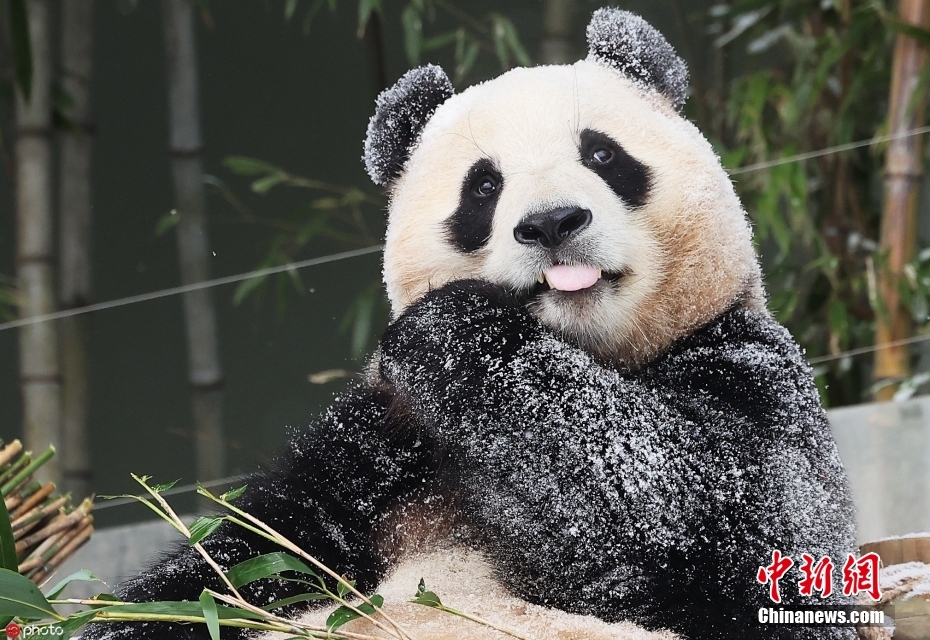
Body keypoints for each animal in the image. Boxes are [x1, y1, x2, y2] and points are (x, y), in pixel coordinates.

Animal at [80, 8, 857, 640]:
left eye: (603, 154)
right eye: (483, 186)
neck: (593, 352)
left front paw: (454, 326)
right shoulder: (385, 443)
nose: (552, 223)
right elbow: (244, 562)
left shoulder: (748, 364)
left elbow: (703, 514)